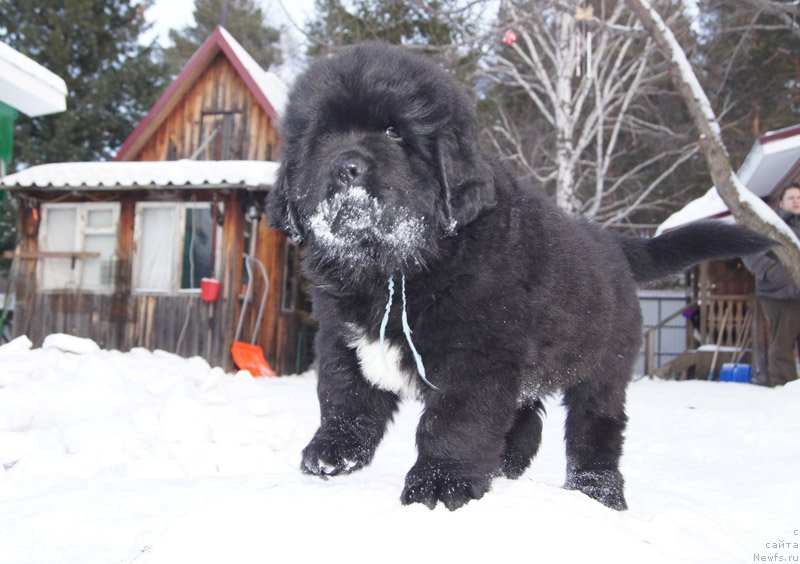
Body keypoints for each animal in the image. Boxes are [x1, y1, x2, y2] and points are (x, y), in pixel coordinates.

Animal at [268, 44, 776, 512]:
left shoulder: (477, 355)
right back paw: (504, 467)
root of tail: (612, 243)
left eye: (394, 132)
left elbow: (454, 422)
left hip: (604, 365)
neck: (394, 266)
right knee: (526, 420)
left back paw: (598, 492)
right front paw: (332, 454)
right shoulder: (340, 335)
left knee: (596, 428)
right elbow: (344, 396)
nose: (345, 166)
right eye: (323, 136)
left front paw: (440, 484)